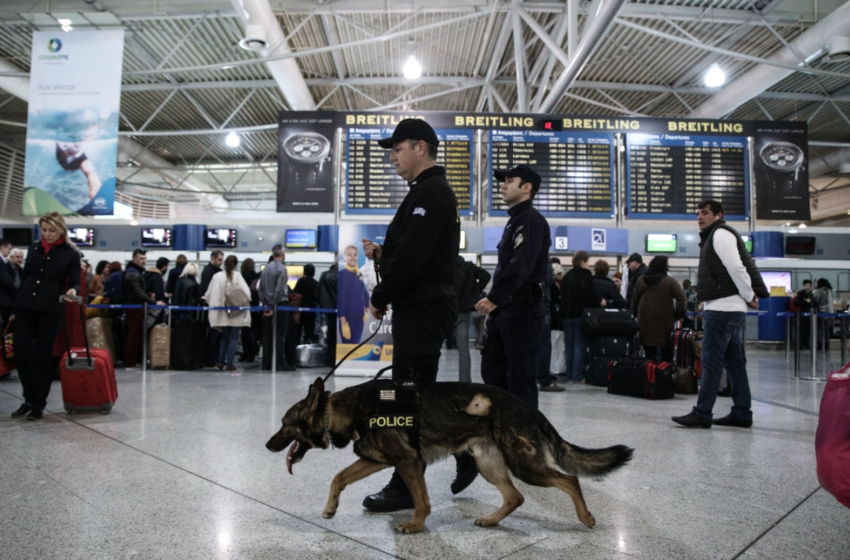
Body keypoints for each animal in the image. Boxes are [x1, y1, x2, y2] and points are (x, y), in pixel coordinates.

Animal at [264, 376, 628, 532]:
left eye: (285, 425)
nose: (267, 445)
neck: (347, 411)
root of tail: (529, 407)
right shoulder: (376, 461)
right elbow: (339, 478)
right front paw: (330, 508)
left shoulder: (409, 462)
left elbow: (421, 501)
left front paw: (415, 526)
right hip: (489, 464)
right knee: (515, 497)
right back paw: (492, 520)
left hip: (524, 464)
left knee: (570, 480)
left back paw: (586, 517)